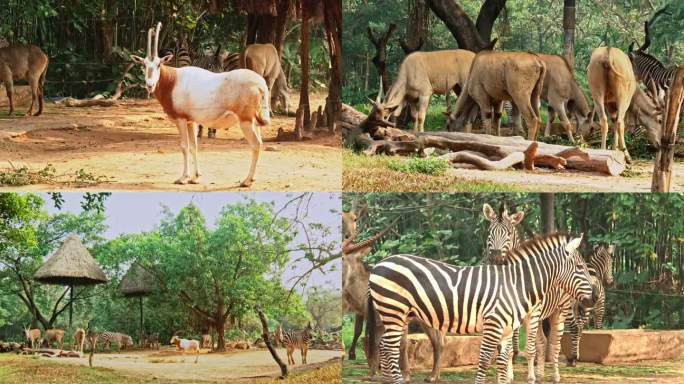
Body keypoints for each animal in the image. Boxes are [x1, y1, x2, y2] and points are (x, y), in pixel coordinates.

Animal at [132, 22, 272, 188]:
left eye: (159, 64)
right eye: (144, 65)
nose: (150, 85)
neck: (172, 80)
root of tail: (260, 84)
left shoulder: (180, 119)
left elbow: (184, 146)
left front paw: (183, 178)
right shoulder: (191, 121)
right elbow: (194, 146)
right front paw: (195, 177)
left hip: (245, 122)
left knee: (255, 144)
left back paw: (246, 181)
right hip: (254, 122)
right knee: (260, 142)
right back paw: (252, 179)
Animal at [366, 232, 596, 382]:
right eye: (579, 267)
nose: (594, 298)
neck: (516, 284)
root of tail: (379, 264)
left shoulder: (506, 330)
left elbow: (502, 364)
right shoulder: (493, 325)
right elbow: (485, 361)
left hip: (397, 315)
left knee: (384, 346)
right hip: (393, 311)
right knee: (389, 347)